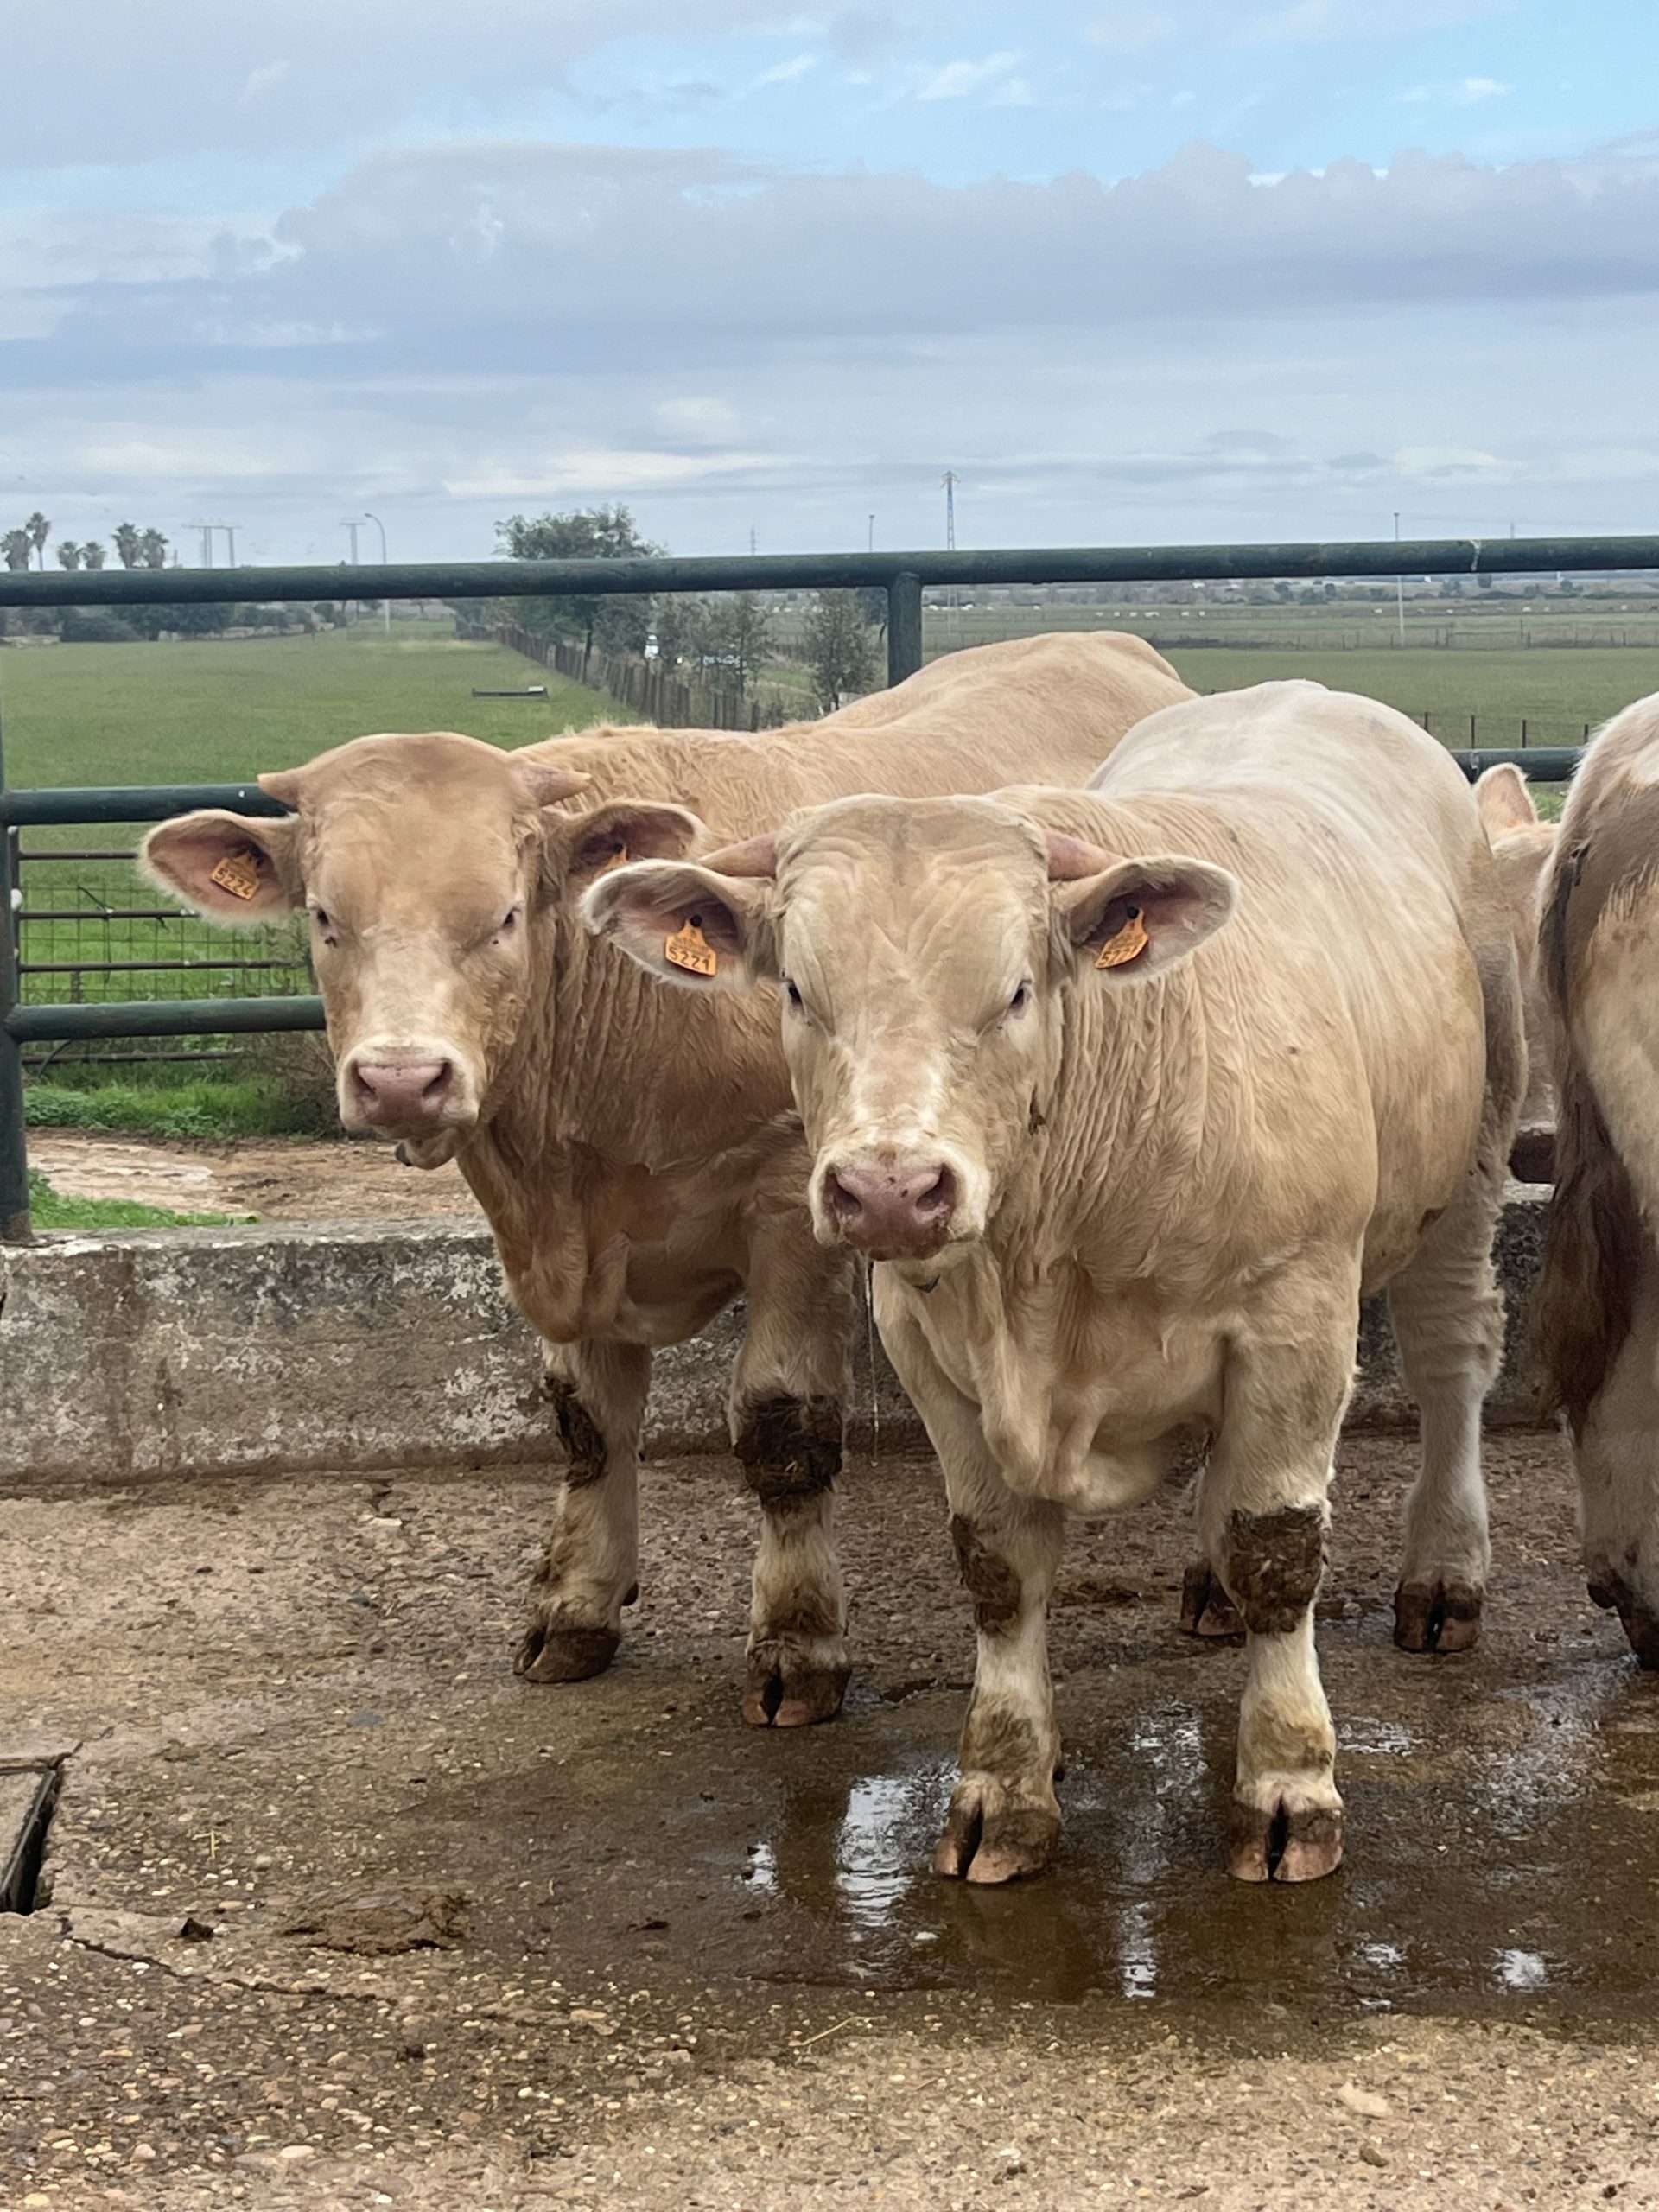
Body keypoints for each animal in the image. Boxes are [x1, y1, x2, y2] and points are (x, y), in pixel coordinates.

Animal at [140, 632, 1192, 1727]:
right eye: (324, 916)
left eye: (503, 916)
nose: (400, 1077)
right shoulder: (566, 1243)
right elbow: (586, 1424)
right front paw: (576, 1605)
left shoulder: (790, 1201)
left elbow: (782, 1424)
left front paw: (797, 1638)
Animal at [586, 679, 1523, 1882]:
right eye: (796, 988)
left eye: (1018, 990)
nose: (891, 1191)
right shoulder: (929, 1345)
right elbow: (999, 1567)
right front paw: (1003, 1782)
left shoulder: (1297, 1315)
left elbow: (1278, 1548)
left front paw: (1286, 1781)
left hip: (1472, 1165)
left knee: (1452, 1359)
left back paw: (1443, 1574)